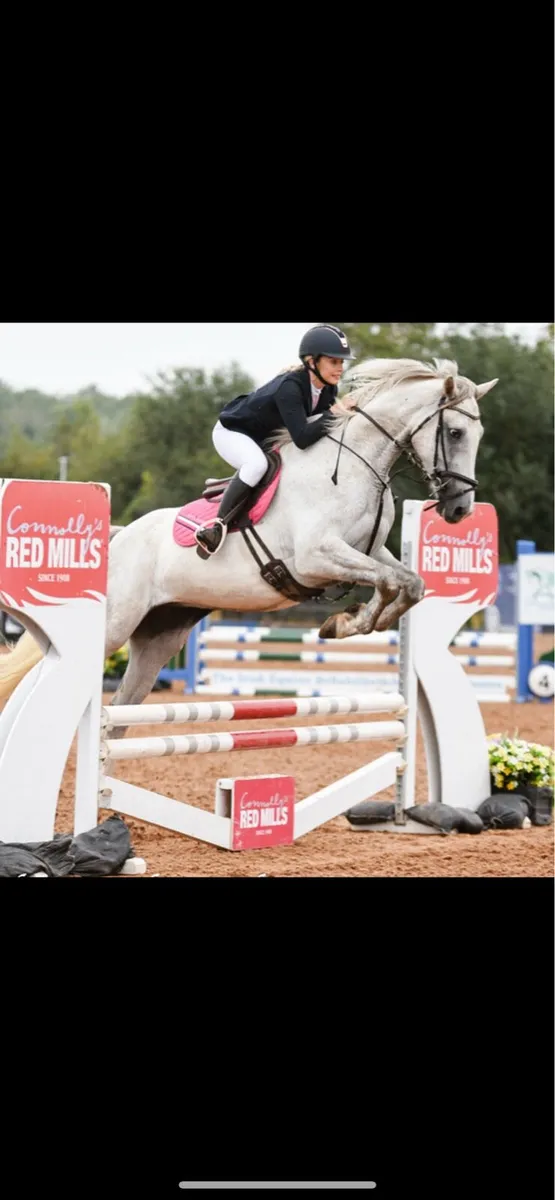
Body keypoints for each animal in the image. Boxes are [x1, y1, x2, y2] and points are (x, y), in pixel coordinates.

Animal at [0, 357, 498, 722]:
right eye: (455, 432)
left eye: (479, 433)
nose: (459, 510)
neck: (358, 465)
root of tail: (117, 539)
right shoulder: (317, 557)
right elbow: (390, 582)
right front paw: (348, 621)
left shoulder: (368, 551)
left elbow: (409, 583)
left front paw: (348, 623)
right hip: (112, 626)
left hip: (158, 636)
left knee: (120, 708)